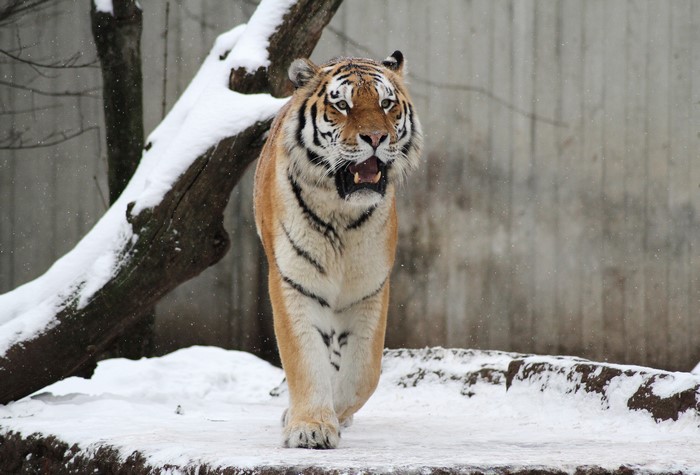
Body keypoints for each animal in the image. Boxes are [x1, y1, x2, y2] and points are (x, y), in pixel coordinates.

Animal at [253, 51, 422, 449]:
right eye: (342, 105)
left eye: (386, 103)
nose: (376, 137)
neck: (341, 214)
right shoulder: (293, 283)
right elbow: (304, 360)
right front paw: (310, 427)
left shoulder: (370, 289)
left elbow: (363, 373)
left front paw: (334, 414)